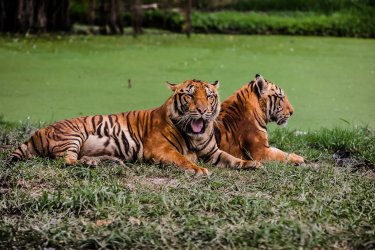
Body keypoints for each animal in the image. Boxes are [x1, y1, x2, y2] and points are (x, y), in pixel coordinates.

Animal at [8, 79, 262, 175]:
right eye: (190, 95)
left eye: (209, 96)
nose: (201, 109)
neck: (195, 136)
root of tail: (38, 131)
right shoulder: (160, 149)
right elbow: (182, 159)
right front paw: (198, 170)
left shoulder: (213, 152)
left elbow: (232, 158)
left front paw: (252, 163)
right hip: (72, 135)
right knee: (66, 161)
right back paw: (93, 163)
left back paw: (105, 161)